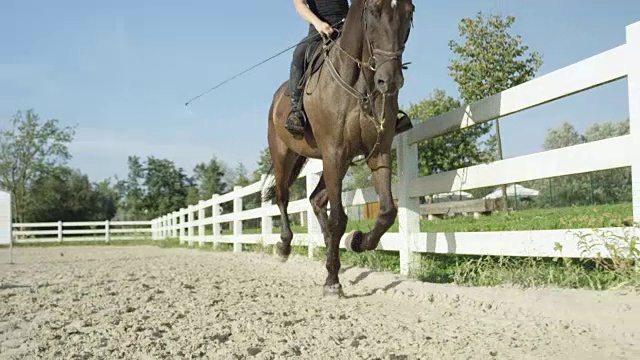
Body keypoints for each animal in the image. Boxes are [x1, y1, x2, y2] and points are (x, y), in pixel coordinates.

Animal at [264, 0, 418, 298]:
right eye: (374, 11)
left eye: (410, 12)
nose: (389, 81)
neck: (359, 85)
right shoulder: (334, 153)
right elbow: (338, 218)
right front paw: (332, 282)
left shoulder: (377, 153)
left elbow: (387, 212)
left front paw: (358, 241)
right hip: (286, 155)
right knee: (283, 197)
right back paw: (284, 246)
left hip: (333, 161)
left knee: (315, 198)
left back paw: (328, 250)